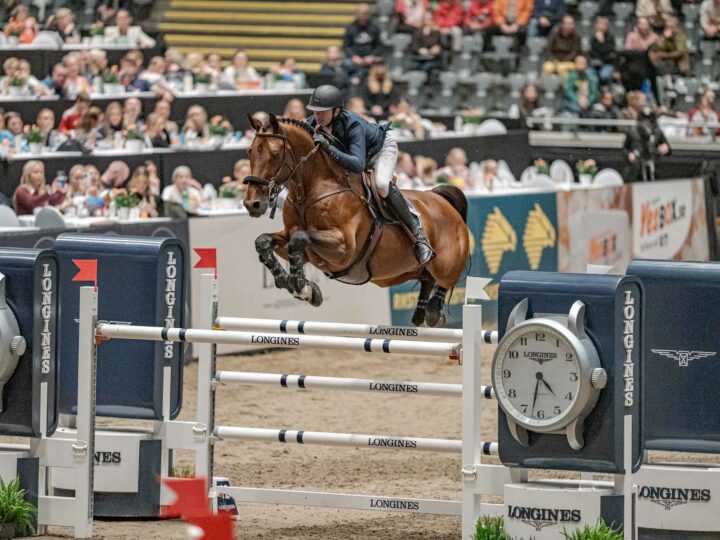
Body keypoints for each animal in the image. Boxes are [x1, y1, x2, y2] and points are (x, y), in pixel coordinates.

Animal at [242, 112, 470, 326]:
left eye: (275, 154)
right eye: (250, 151)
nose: (253, 204)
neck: (311, 192)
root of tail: (442, 200)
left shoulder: (344, 248)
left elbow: (299, 239)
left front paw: (301, 287)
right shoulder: (295, 242)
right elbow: (265, 241)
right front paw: (293, 283)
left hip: (446, 264)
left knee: (448, 278)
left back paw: (433, 308)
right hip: (401, 272)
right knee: (426, 278)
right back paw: (424, 312)